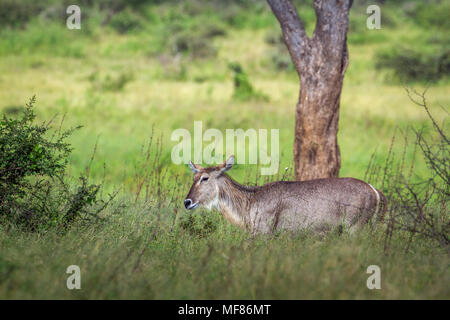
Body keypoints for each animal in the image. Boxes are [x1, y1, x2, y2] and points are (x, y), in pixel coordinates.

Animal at [184, 156, 386, 234]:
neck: (249, 201)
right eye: (193, 177)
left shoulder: (263, 231)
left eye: (204, 178)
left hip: (355, 228)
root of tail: (375, 190)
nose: (187, 202)